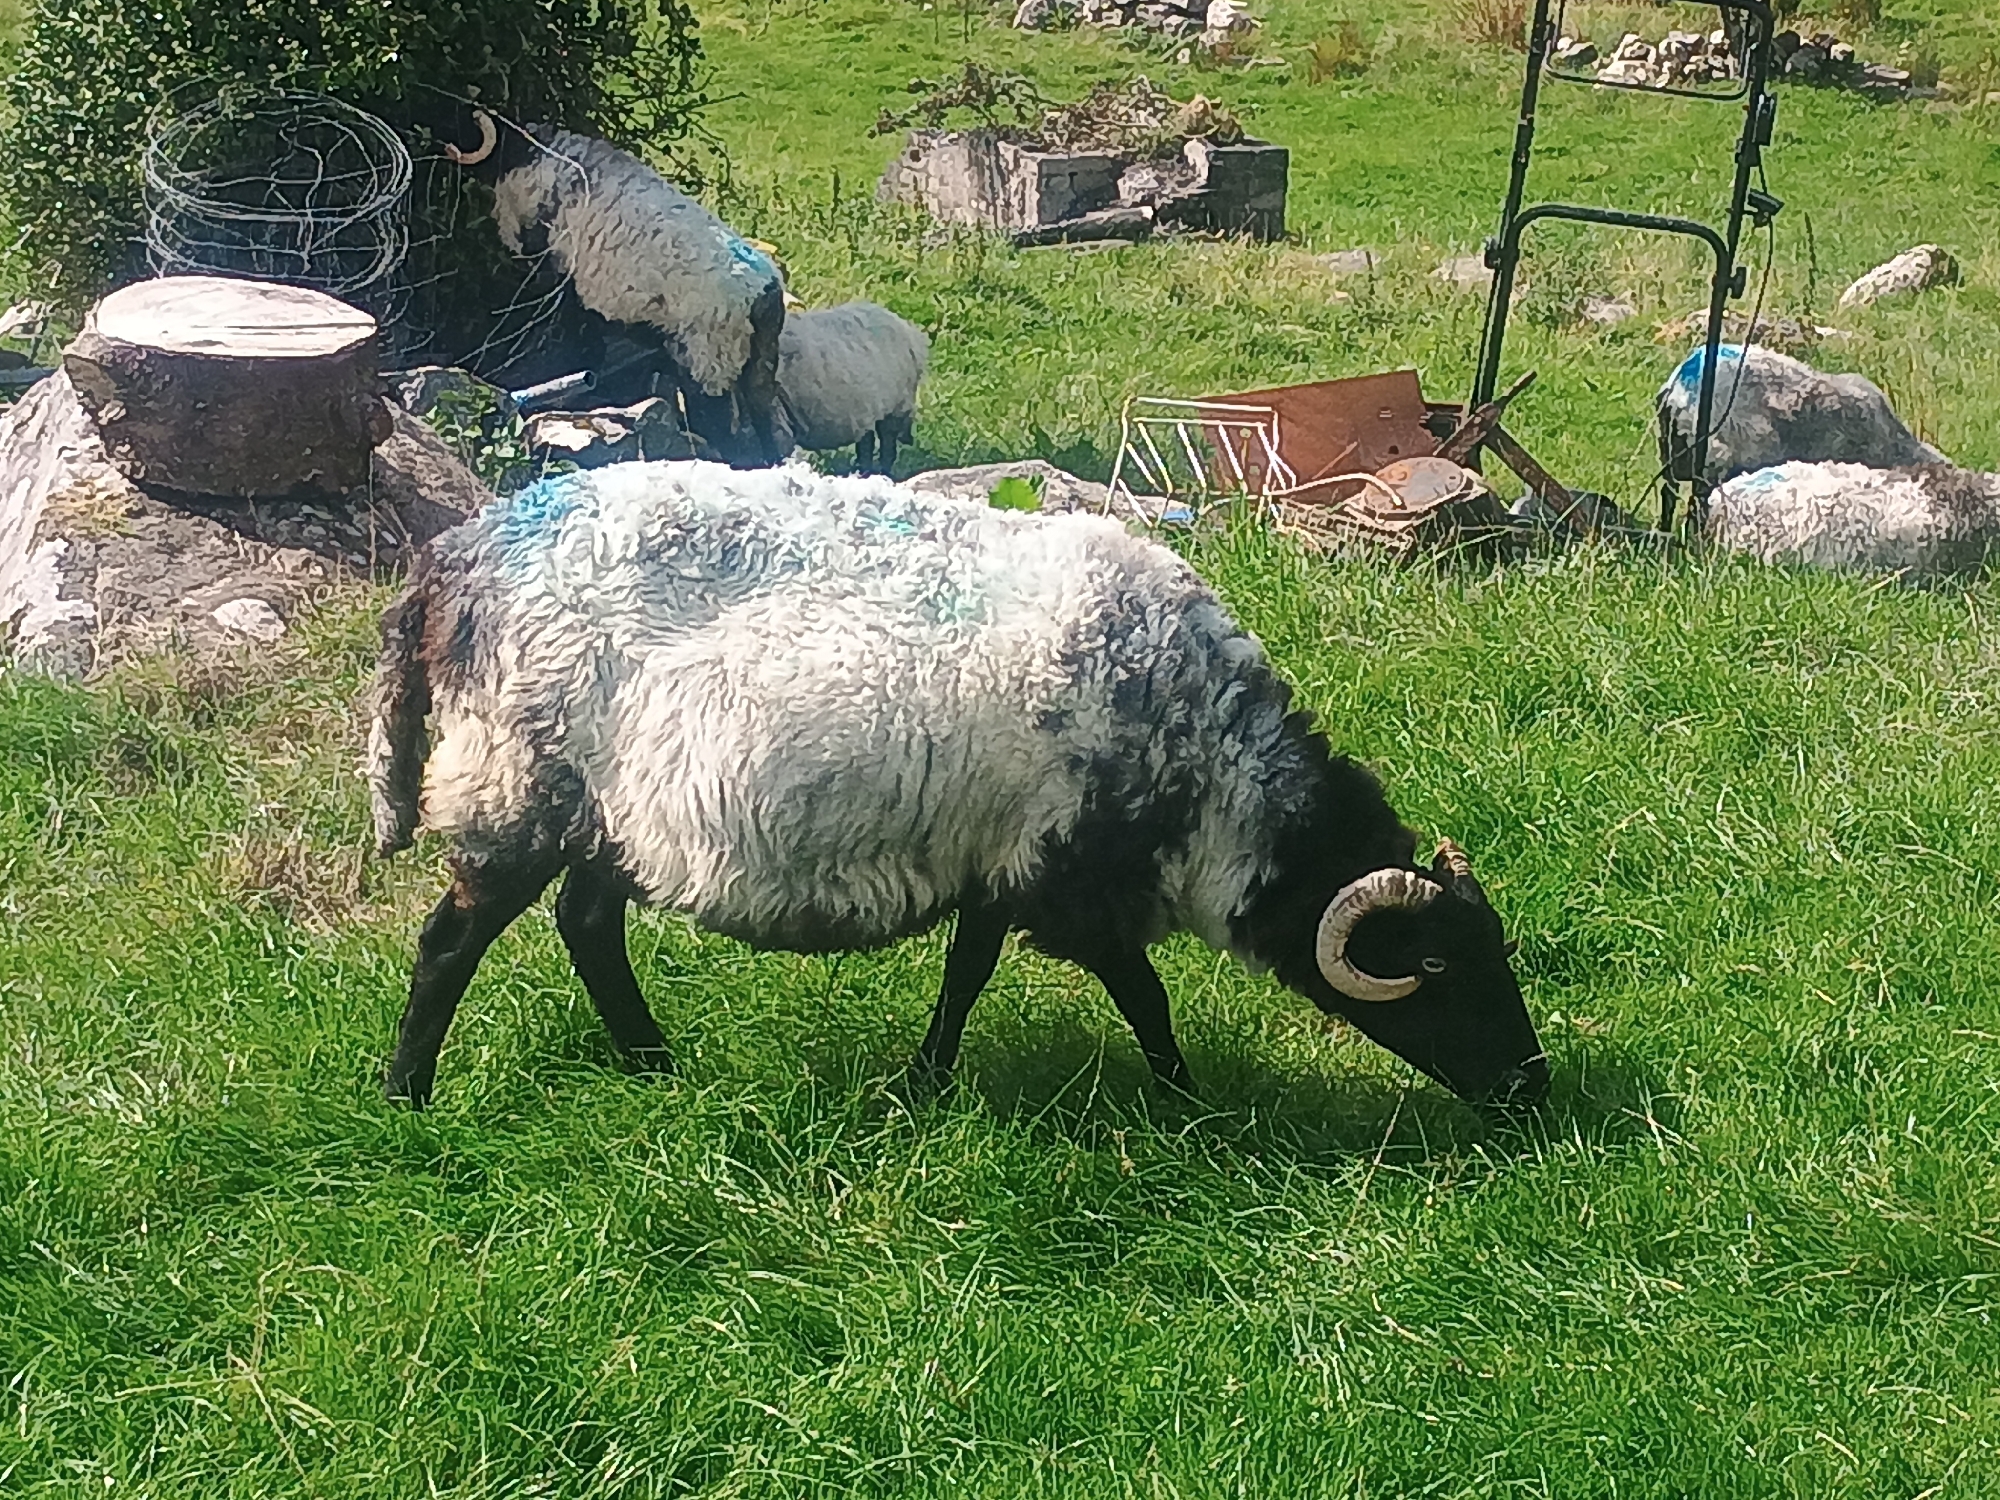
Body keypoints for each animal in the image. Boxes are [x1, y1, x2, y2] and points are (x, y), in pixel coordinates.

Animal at [366, 461, 1546, 1110]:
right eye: (1437, 964)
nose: (1531, 1093)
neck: (1212, 769)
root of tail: (454, 561)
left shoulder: (1003, 858)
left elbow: (967, 972)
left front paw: (926, 1081)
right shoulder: (1072, 873)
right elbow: (1142, 994)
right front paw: (1186, 1098)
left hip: (617, 810)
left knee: (585, 922)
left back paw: (654, 1063)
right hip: (519, 780)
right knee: (450, 942)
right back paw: (408, 1095)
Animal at [435, 107, 786, 466]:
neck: (532, 158)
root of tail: (763, 295)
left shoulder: (561, 287)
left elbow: (576, 348)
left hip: (708, 367)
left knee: (723, 431)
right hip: (757, 371)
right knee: (766, 425)